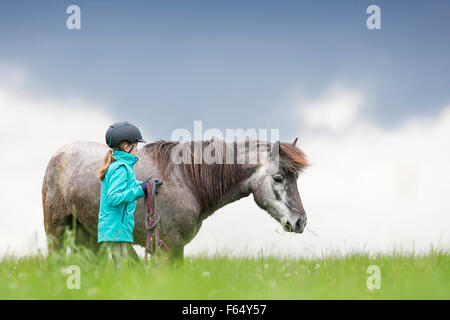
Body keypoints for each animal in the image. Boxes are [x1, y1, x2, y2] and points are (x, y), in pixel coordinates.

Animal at [42, 139, 308, 264]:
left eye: (296, 178)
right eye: (278, 178)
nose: (301, 222)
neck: (187, 181)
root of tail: (59, 154)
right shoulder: (171, 246)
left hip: (88, 236)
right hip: (56, 231)